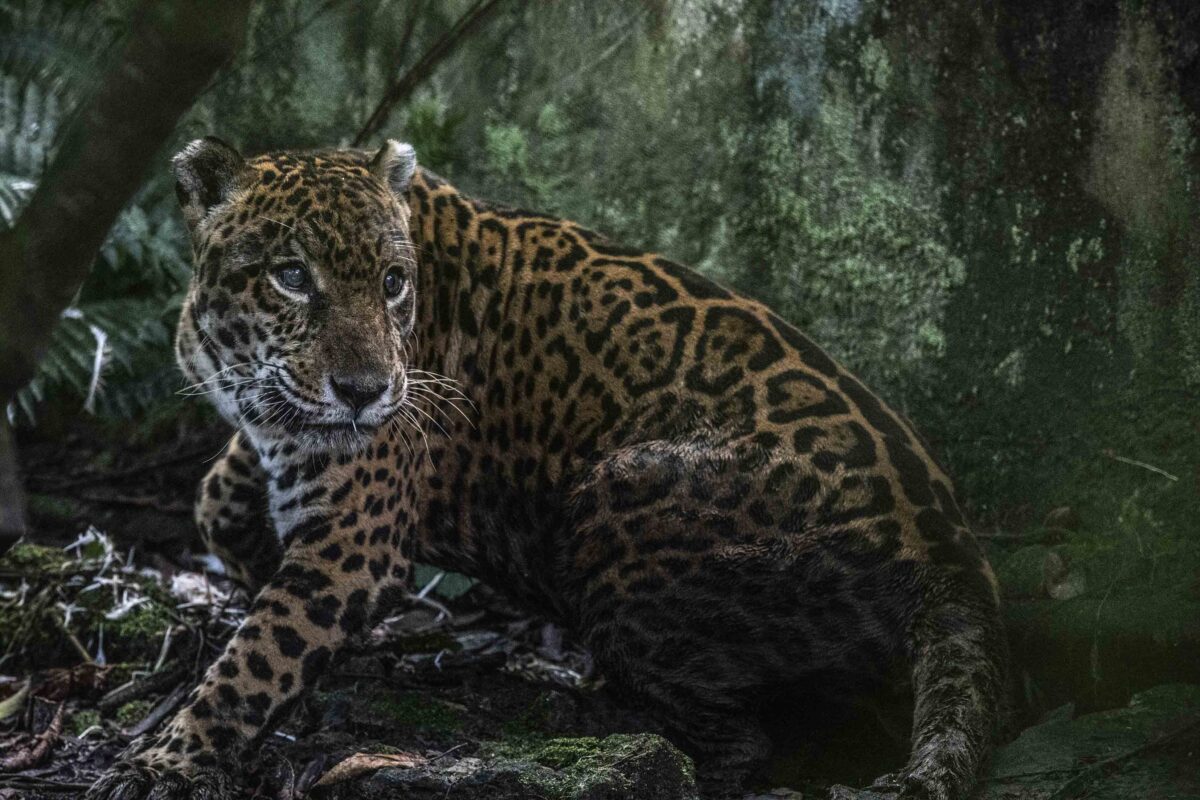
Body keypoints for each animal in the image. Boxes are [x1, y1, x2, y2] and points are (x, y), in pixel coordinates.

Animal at [86, 136, 1008, 800]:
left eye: (392, 282)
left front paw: (164, 763)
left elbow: (255, 661)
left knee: (749, 738)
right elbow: (219, 494)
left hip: (617, 498)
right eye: (290, 276)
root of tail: (951, 558)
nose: (366, 390)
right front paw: (247, 546)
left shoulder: (354, 544)